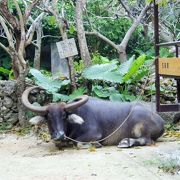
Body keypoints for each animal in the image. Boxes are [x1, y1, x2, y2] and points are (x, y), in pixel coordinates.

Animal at [21, 86, 165, 148]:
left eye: (64, 115)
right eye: (48, 117)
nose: (60, 135)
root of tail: (161, 120)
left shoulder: (94, 134)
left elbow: (78, 143)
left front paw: (95, 144)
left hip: (139, 126)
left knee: (147, 140)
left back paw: (126, 142)